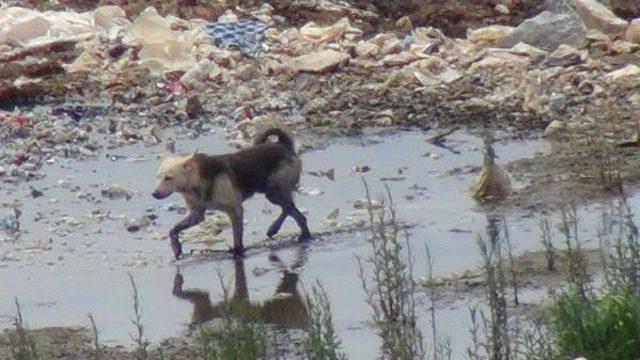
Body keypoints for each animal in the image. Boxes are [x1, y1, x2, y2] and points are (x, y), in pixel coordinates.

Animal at [151, 129, 310, 258]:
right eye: (158, 177)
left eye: (168, 178)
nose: (154, 194)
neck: (195, 179)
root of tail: (283, 145)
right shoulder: (196, 214)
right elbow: (173, 229)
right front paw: (176, 247)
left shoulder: (235, 210)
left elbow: (237, 239)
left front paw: (237, 253)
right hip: (273, 192)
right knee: (298, 215)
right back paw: (304, 235)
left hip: (273, 192)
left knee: (288, 207)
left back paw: (274, 228)